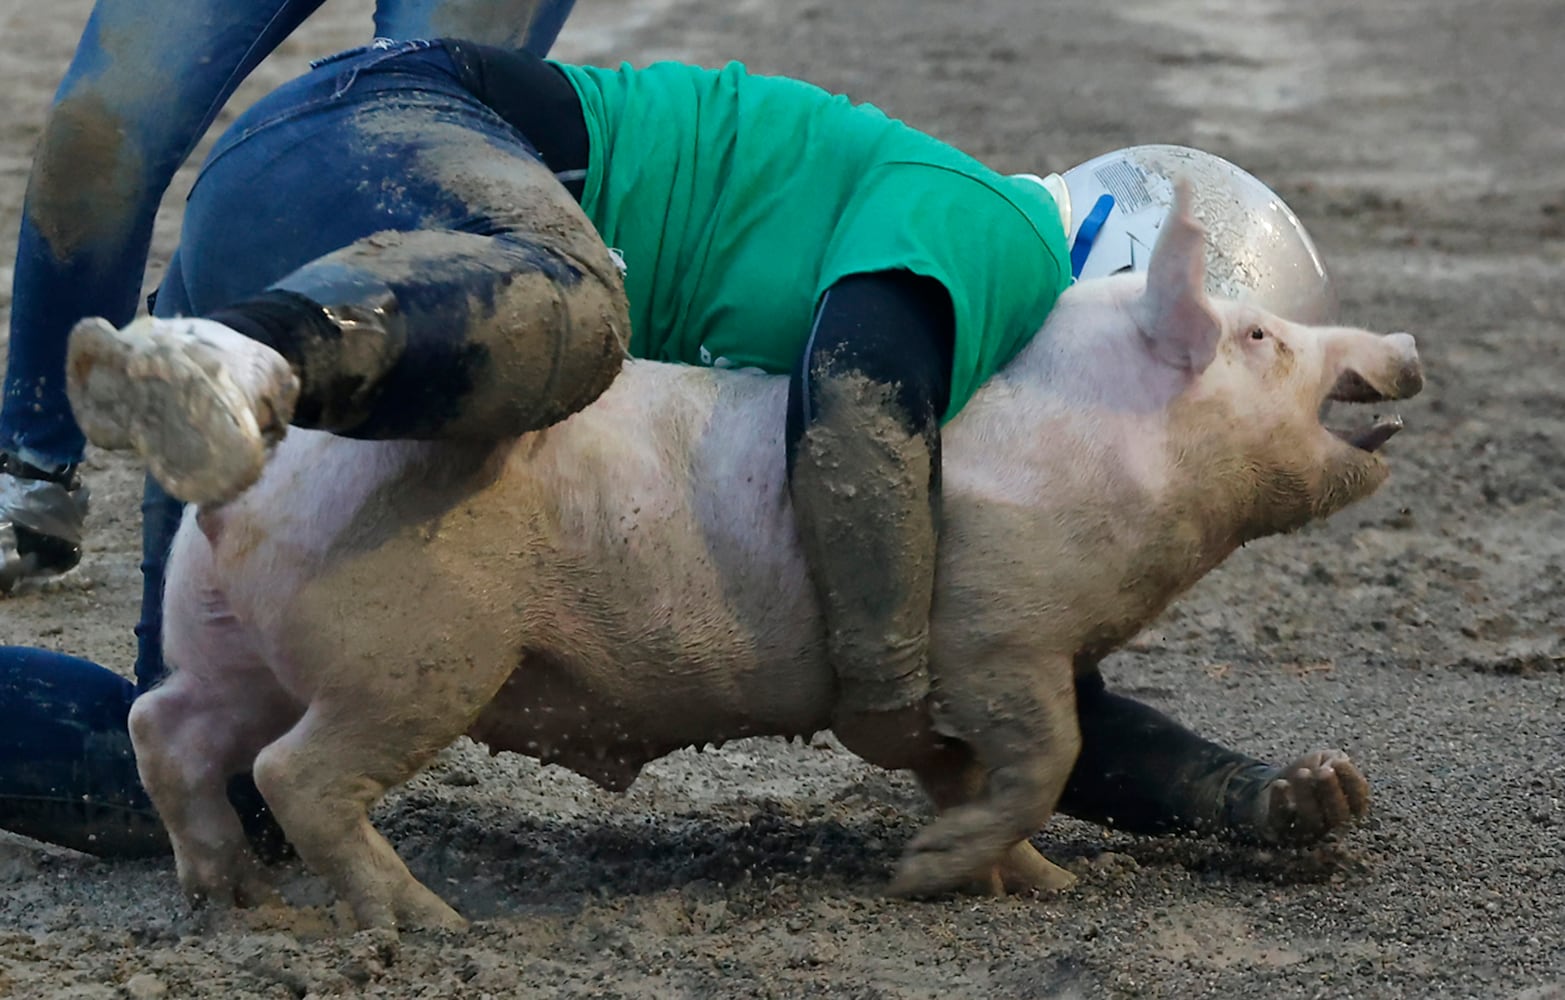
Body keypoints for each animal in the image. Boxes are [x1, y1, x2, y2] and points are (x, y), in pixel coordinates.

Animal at [125, 183, 1421, 932]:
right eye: (1258, 336)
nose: (1403, 344)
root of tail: (247, 481)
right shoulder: (996, 639)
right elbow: (1043, 755)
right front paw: (922, 877)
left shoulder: (965, 691)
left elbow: (984, 774)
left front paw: (1033, 883)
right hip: (411, 652)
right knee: (296, 773)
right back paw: (426, 925)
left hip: (231, 639)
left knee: (168, 726)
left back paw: (234, 898)